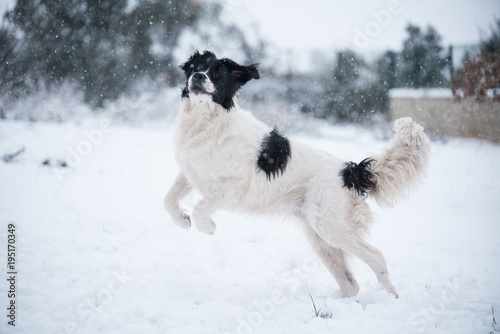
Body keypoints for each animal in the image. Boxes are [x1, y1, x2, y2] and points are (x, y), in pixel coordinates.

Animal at [164, 50, 430, 298]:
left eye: (217, 74)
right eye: (195, 69)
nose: (199, 77)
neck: (205, 122)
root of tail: (351, 170)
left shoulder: (231, 187)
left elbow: (200, 208)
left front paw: (208, 227)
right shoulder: (189, 173)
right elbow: (168, 200)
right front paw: (182, 220)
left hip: (331, 227)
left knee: (376, 256)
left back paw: (390, 297)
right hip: (320, 238)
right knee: (350, 283)